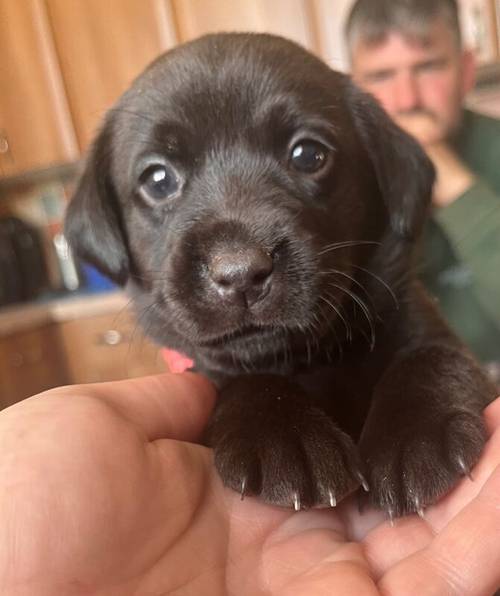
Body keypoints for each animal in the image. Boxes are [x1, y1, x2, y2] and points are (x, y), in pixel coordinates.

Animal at [65, 32, 496, 516]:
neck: (308, 358)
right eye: (158, 180)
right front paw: (283, 436)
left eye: (308, 155)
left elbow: (435, 358)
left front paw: (415, 434)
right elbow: (240, 378)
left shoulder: (421, 321)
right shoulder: (207, 368)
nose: (239, 272)